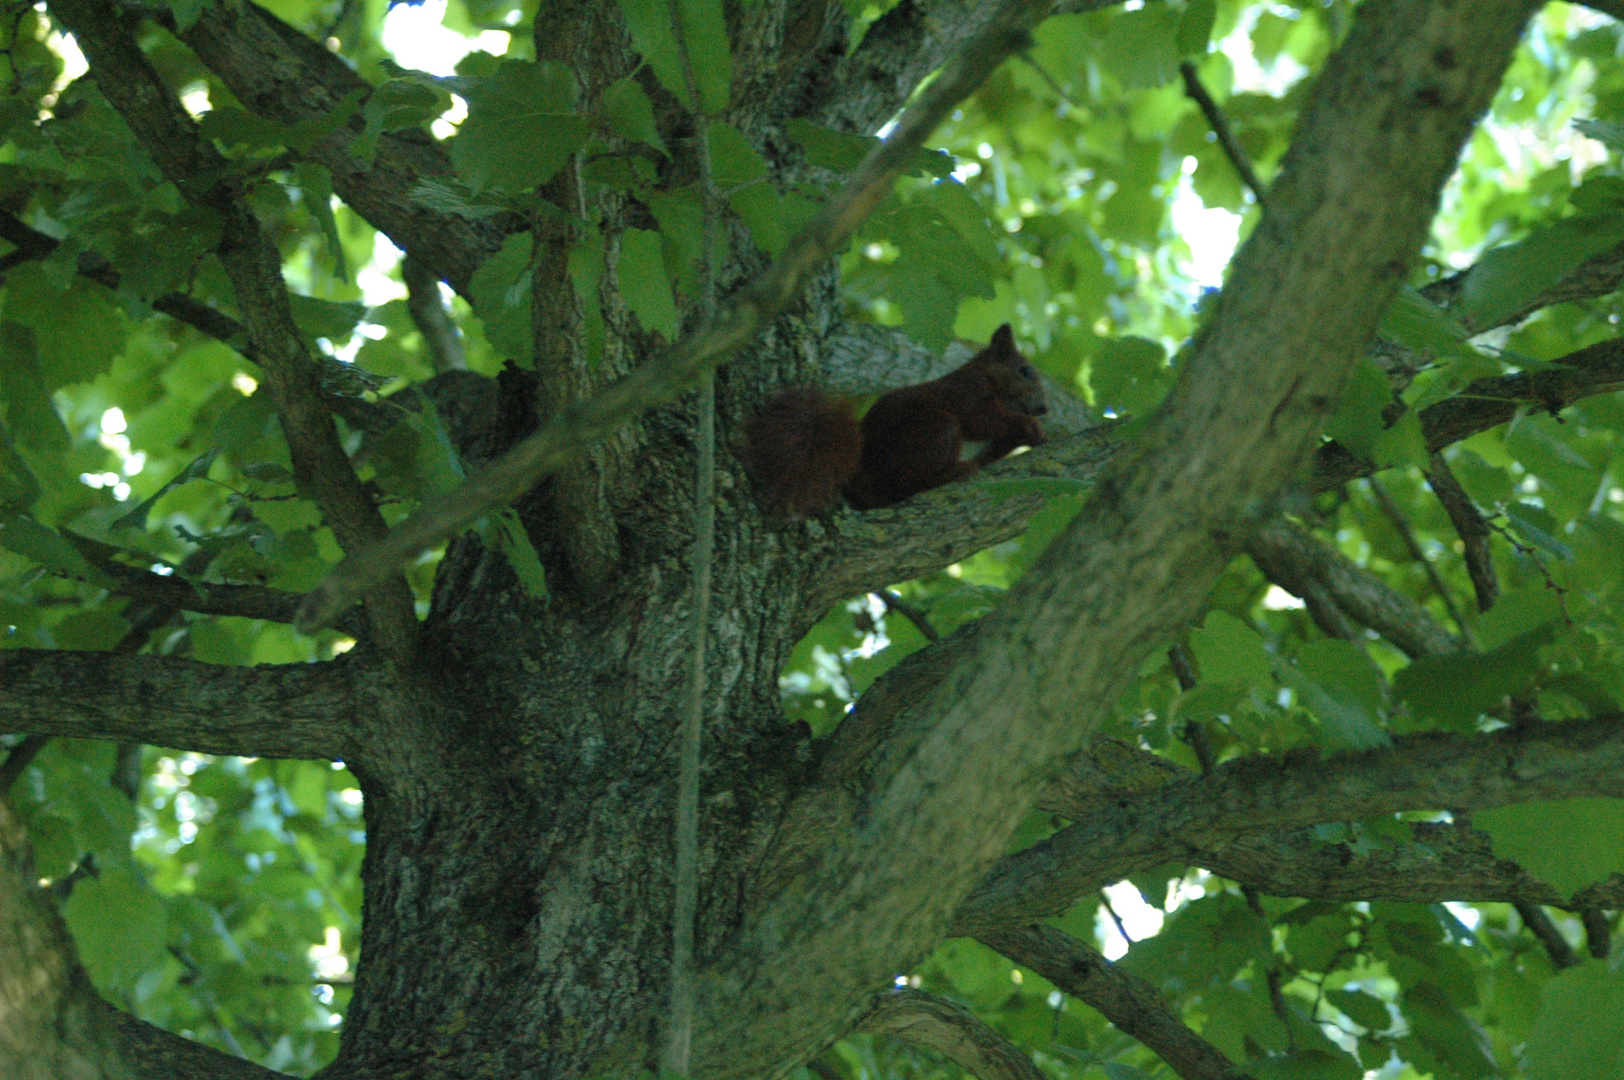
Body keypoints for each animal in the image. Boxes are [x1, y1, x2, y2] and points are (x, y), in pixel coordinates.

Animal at [747, 324, 1052, 513]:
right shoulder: (966, 393)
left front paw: (1031, 436)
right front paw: (1026, 424)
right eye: (1025, 370)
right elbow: (981, 419)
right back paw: (953, 472)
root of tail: (862, 478)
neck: (988, 377)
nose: (1044, 408)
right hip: (935, 432)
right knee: (907, 487)